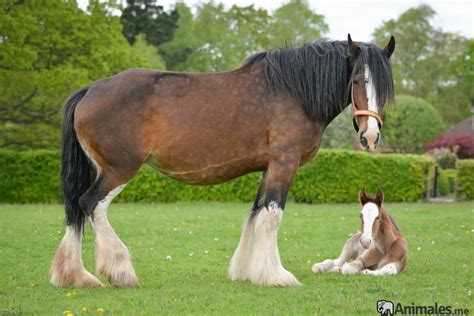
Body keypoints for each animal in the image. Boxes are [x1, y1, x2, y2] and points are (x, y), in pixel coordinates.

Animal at [50, 34, 394, 286]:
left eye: (385, 88)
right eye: (355, 81)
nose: (371, 136)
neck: (293, 91)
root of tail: (89, 90)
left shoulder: (268, 168)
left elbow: (255, 214)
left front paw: (247, 271)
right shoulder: (284, 164)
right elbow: (272, 216)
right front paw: (276, 275)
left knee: (76, 212)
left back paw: (75, 276)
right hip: (119, 169)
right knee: (90, 204)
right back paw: (118, 271)